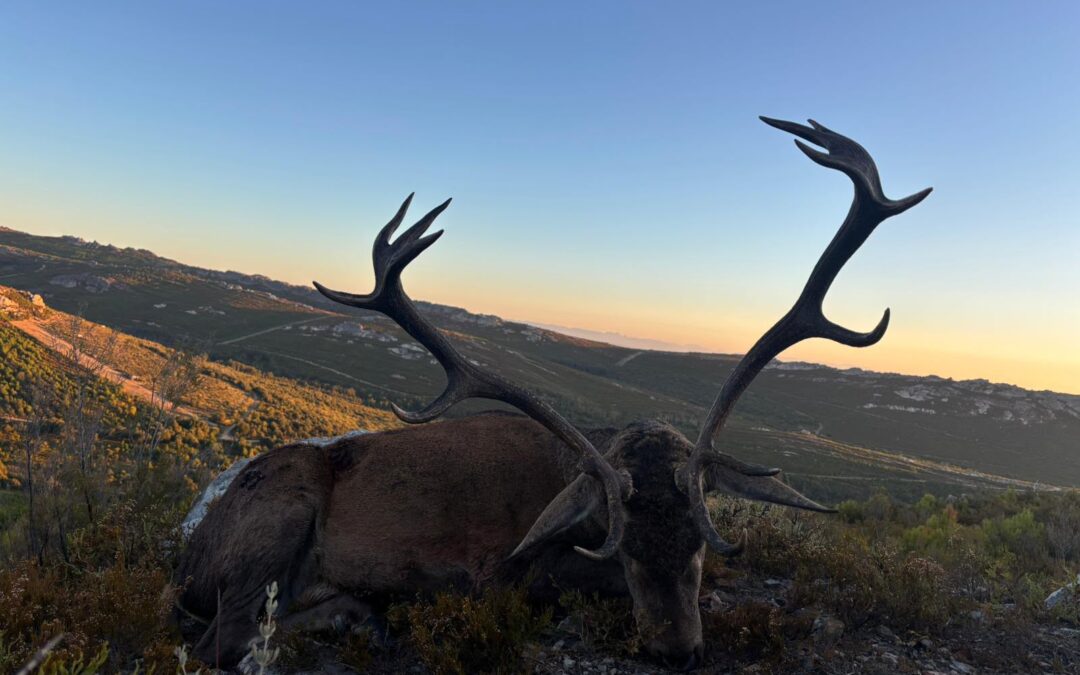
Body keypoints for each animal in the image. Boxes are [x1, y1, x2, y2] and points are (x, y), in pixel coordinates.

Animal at [174, 117, 930, 670]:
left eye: (700, 540)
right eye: (626, 551)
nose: (678, 651)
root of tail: (187, 558)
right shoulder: (494, 573)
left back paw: (363, 615)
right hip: (280, 511)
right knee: (220, 639)